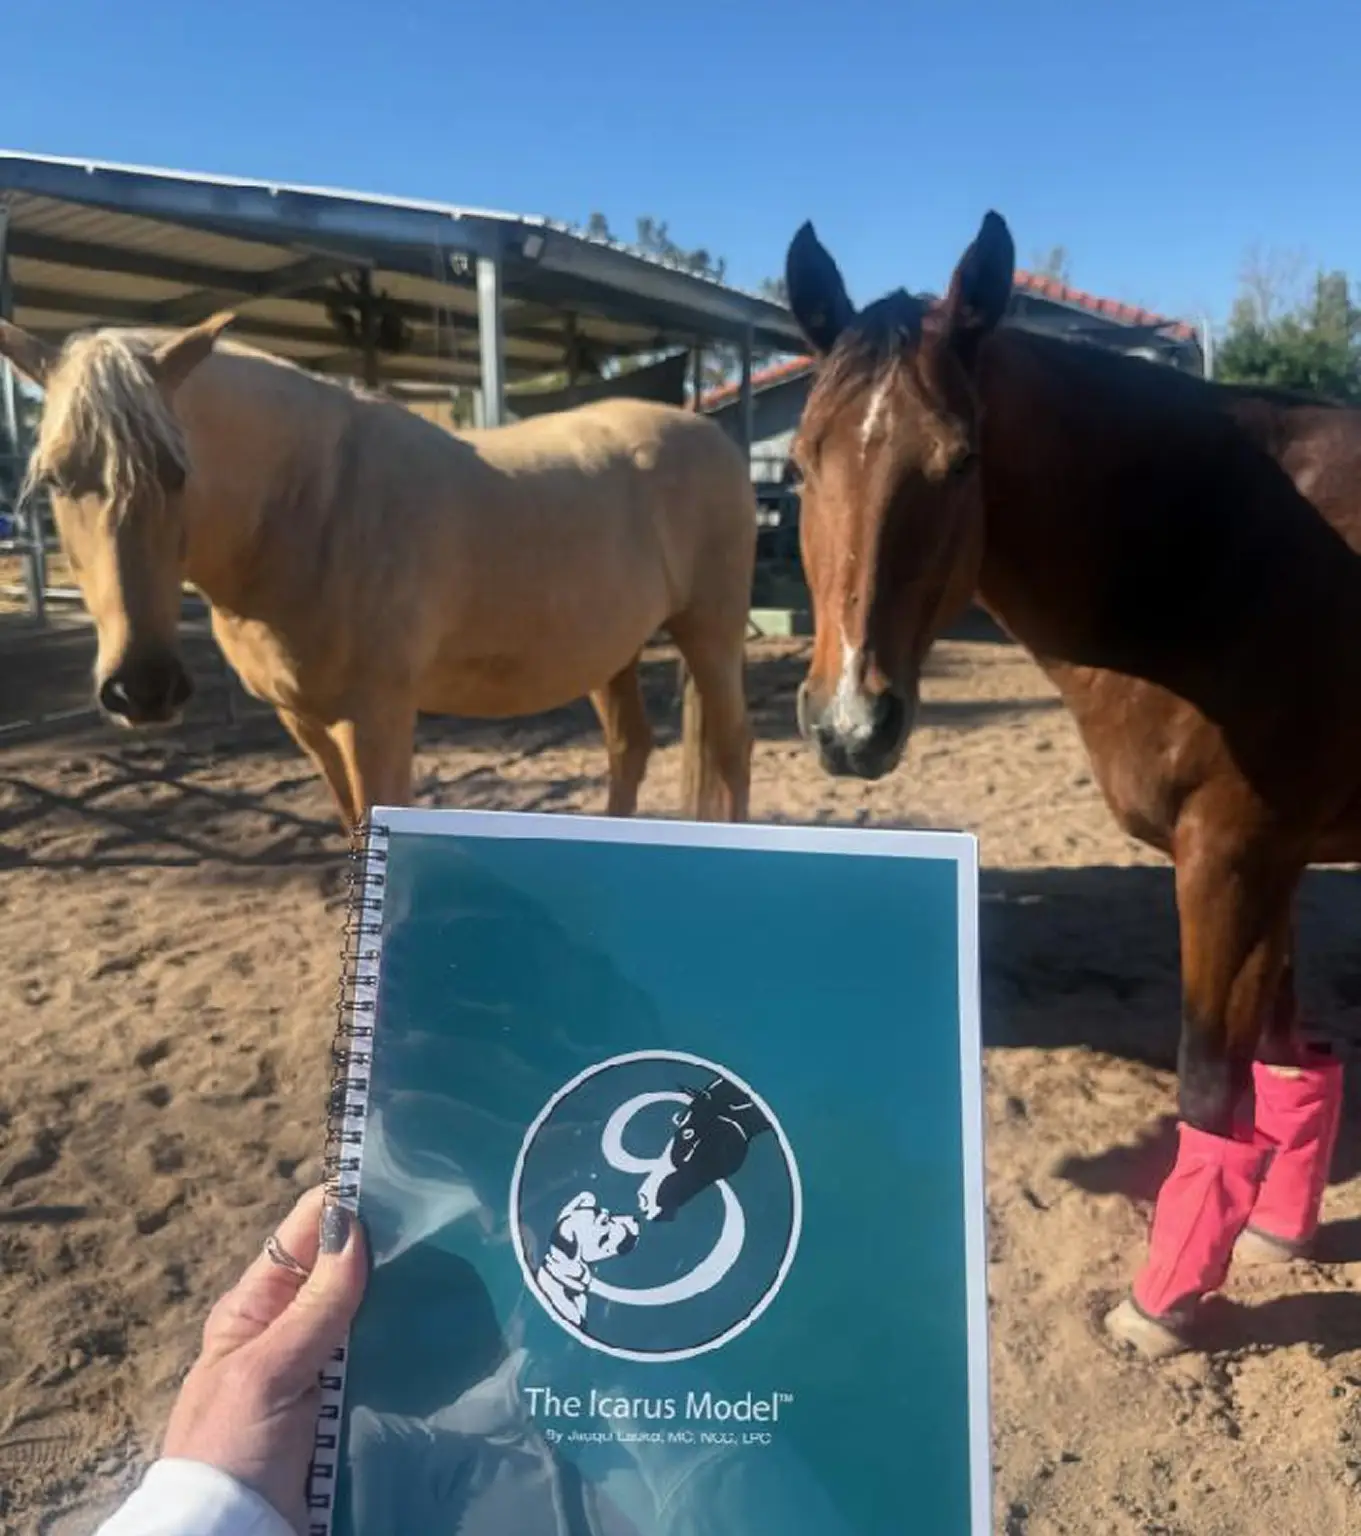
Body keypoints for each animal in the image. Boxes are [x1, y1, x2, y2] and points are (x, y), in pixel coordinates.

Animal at [0, 316, 756, 829]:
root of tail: (711, 432)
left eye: (177, 471)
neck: (312, 502)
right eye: (55, 479)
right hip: (609, 653)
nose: (145, 688)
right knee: (630, 748)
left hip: (711, 636)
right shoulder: (304, 721)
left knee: (732, 748)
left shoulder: (377, 717)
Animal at [781, 209, 1361, 1360]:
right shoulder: (1270, 859)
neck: (1216, 550)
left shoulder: (1230, 857)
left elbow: (1209, 1087)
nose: (848, 724)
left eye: (959, 461)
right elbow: (1287, 1062)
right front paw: (1275, 1234)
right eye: (799, 459)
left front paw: (1165, 1302)